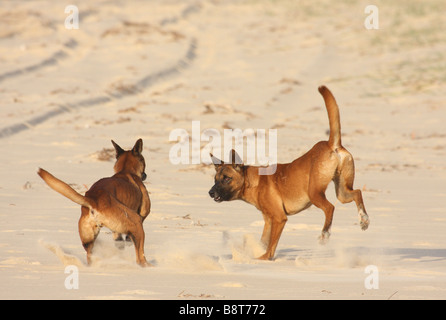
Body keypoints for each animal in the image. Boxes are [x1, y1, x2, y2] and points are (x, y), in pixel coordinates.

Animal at [211, 87, 372, 260]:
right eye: (215, 179)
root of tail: (331, 144)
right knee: (357, 193)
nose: (210, 193)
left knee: (330, 207)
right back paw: (364, 219)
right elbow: (264, 242)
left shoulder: (279, 219)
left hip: (314, 192)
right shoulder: (268, 221)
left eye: (226, 178)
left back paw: (325, 234)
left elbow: (271, 247)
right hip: (342, 192)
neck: (253, 181)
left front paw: (264, 259)